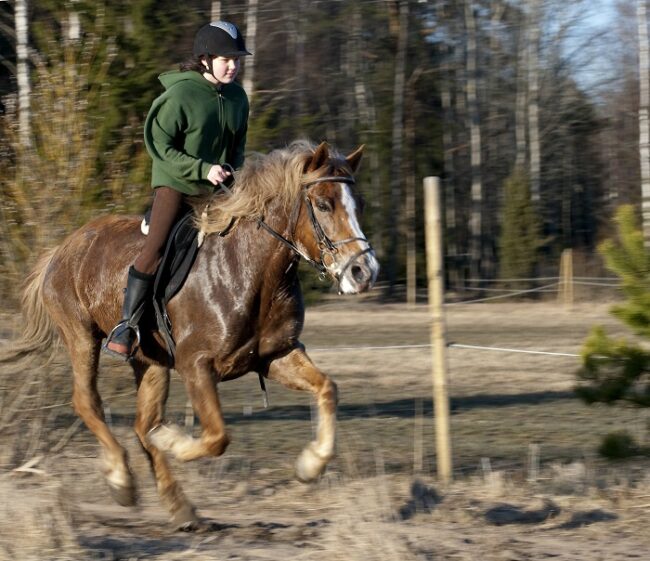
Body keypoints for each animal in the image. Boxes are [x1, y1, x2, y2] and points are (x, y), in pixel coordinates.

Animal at [2, 141, 380, 528]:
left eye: (360, 204)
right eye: (323, 204)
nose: (363, 272)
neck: (252, 270)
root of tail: (62, 249)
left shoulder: (275, 356)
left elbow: (327, 388)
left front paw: (310, 465)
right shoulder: (195, 365)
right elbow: (217, 437)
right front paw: (173, 441)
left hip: (150, 361)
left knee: (142, 423)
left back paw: (179, 505)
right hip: (81, 336)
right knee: (88, 402)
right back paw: (121, 478)